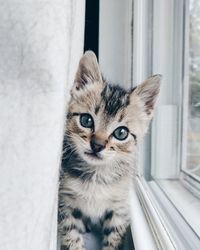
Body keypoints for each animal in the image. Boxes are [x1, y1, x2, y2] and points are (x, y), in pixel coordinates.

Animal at [58, 51, 161, 250]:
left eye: (121, 133)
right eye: (86, 120)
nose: (97, 145)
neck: (96, 177)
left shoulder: (118, 210)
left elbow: (114, 239)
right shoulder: (66, 206)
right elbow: (72, 238)